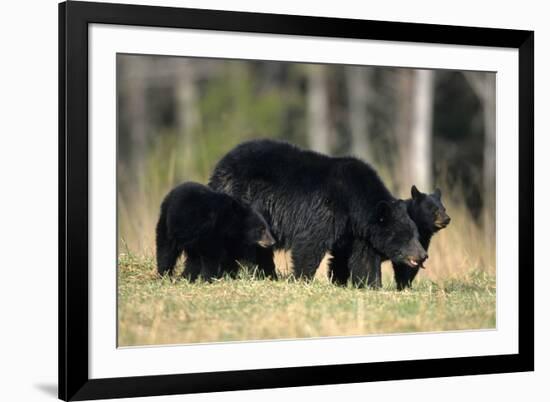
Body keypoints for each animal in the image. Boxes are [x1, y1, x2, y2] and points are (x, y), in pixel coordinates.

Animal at [209, 140, 430, 288]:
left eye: (416, 234)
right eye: (406, 236)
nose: (423, 255)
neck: (355, 204)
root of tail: (220, 165)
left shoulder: (358, 232)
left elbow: (362, 258)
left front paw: (370, 284)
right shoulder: (327, 210)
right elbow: (310, 243)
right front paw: (302, 278)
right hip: (244, 199)